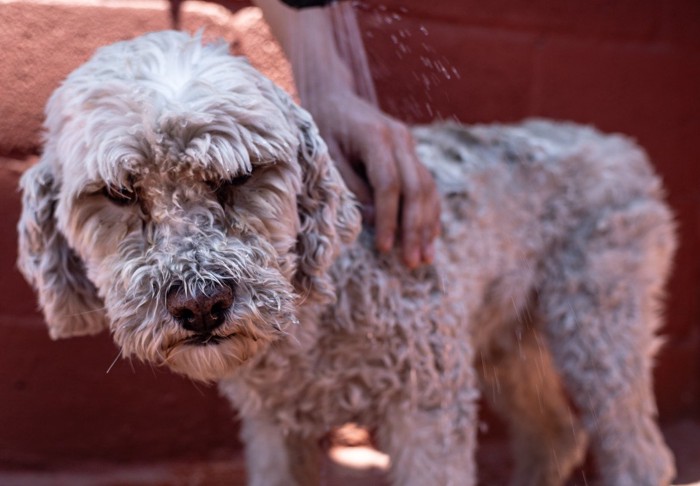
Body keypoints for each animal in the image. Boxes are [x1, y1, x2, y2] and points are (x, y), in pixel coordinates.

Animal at [17, 31, 680, 486]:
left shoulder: (426, 406)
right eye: (118, 193)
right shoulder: (273, 428)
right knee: (557, 435)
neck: (316, 315)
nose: (202, 304)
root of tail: (616, 144)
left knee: (638, 451)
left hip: (598, 323)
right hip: (506, 339)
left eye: (241, 176)